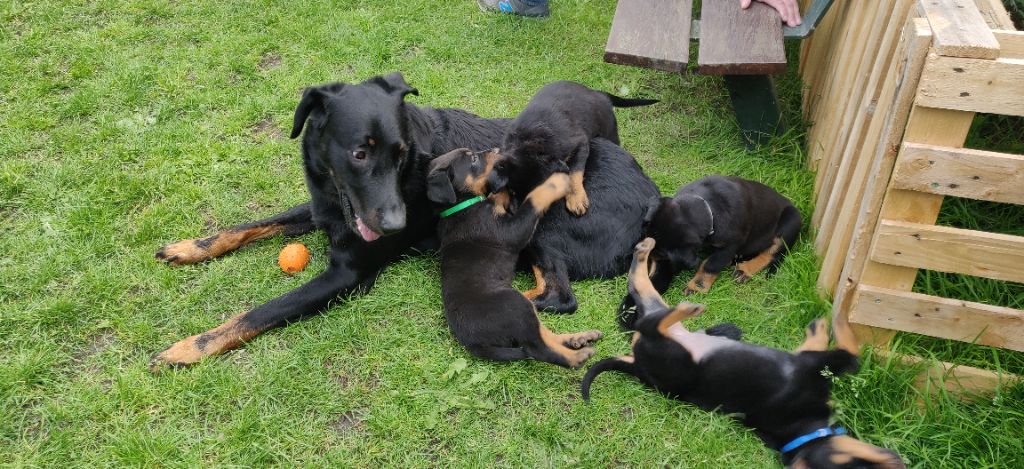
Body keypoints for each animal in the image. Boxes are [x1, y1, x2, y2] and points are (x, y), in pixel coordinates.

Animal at [421, 148, 598, 368]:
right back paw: (577, 356)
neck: (462, 205)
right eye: (473, 159)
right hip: (516, 303)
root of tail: (473, 343)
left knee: (541, 335)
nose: (496, 150)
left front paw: (503, 190)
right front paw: (555, 182)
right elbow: (533, 200)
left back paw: (576, 339)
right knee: (537, 348)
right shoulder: (509, 230)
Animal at [485, 80, 655, 216]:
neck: (531, 141)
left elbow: (574, 172)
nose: (515, 213)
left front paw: (576, 198)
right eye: (512, 191)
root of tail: (598, 93)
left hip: (610, 131)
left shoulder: (580, 144)